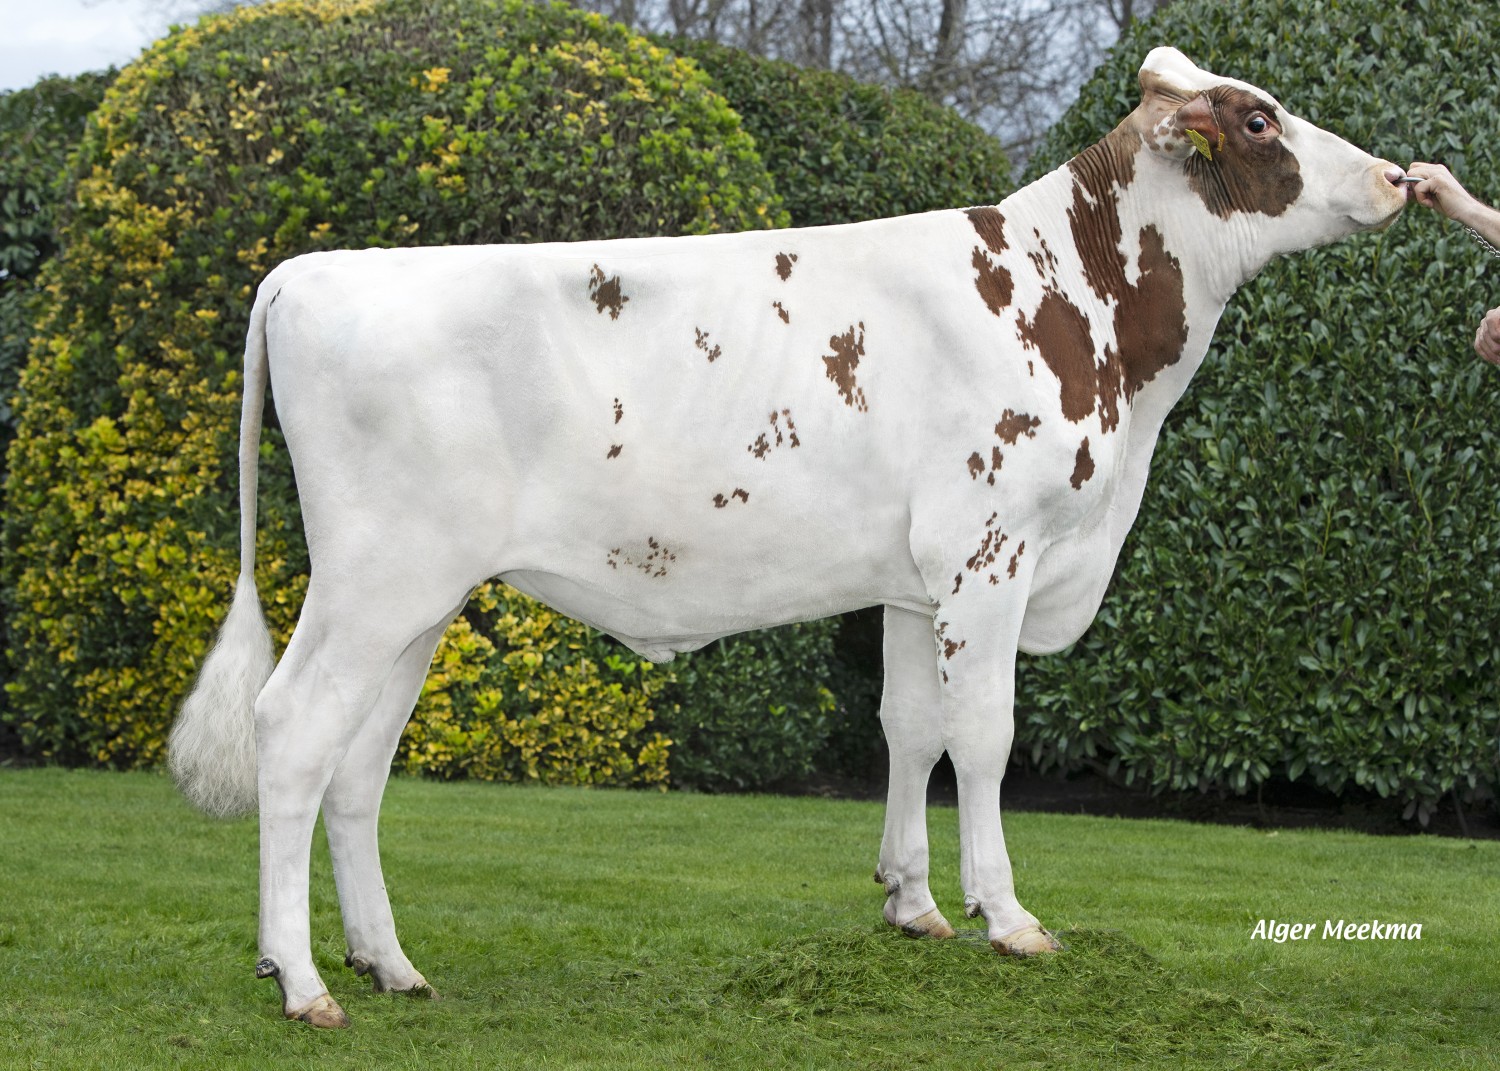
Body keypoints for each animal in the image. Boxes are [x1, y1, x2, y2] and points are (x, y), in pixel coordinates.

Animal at [168, 47, 1410, 1027]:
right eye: (1259, 120)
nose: (1398, 177)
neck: (1081, 309)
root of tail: (311, 270)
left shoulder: (914, 583)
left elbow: (910, 729)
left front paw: (914, 905)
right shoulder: (990, 553)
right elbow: (985, 737)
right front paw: (1009, 918)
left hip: (415, 603)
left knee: (358, 764)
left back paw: (388, 964)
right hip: (373, 582)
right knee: (293, 733)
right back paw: (301, 982)